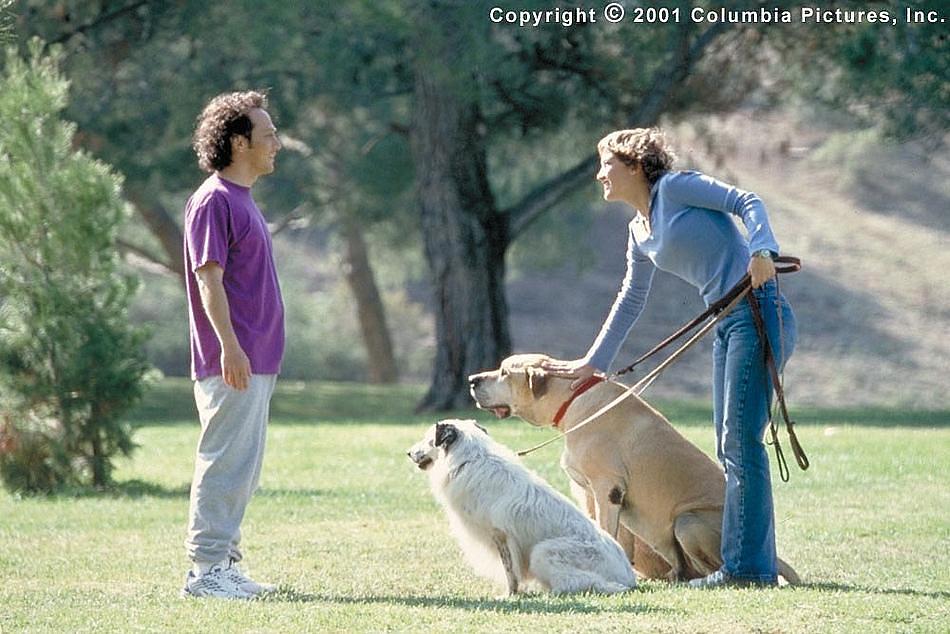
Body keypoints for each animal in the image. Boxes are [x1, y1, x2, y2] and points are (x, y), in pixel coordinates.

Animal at [406, 420, 636, 592]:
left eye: (428, 439)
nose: (408, 453)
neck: (468, 460)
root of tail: (629, 576)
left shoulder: (500, 534)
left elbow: (510, 572)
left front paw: (510, 595)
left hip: (542, 552)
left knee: (582, 582)